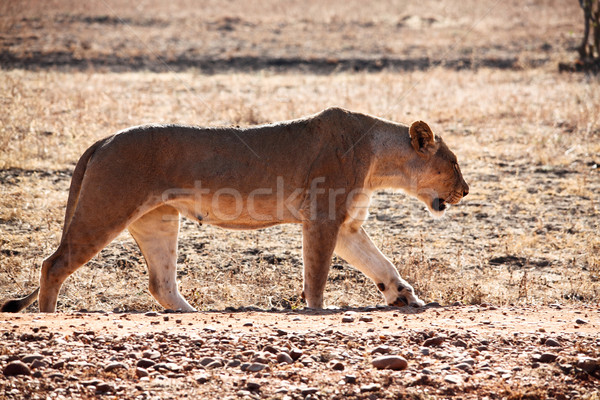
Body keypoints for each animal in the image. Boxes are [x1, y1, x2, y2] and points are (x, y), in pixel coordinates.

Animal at [0, 107, 468, 312]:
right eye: (454, 164)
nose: (466, 190)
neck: (380, 158)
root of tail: (103, 139)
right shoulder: (323, 217)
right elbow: (316, 274)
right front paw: (318, 311)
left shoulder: (348, 225)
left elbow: (380, 263)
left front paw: (404, 295)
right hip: (105, 208)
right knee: (53, 264)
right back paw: (50, 318)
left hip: (157, 221)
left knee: (161, 284)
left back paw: (192, 316)